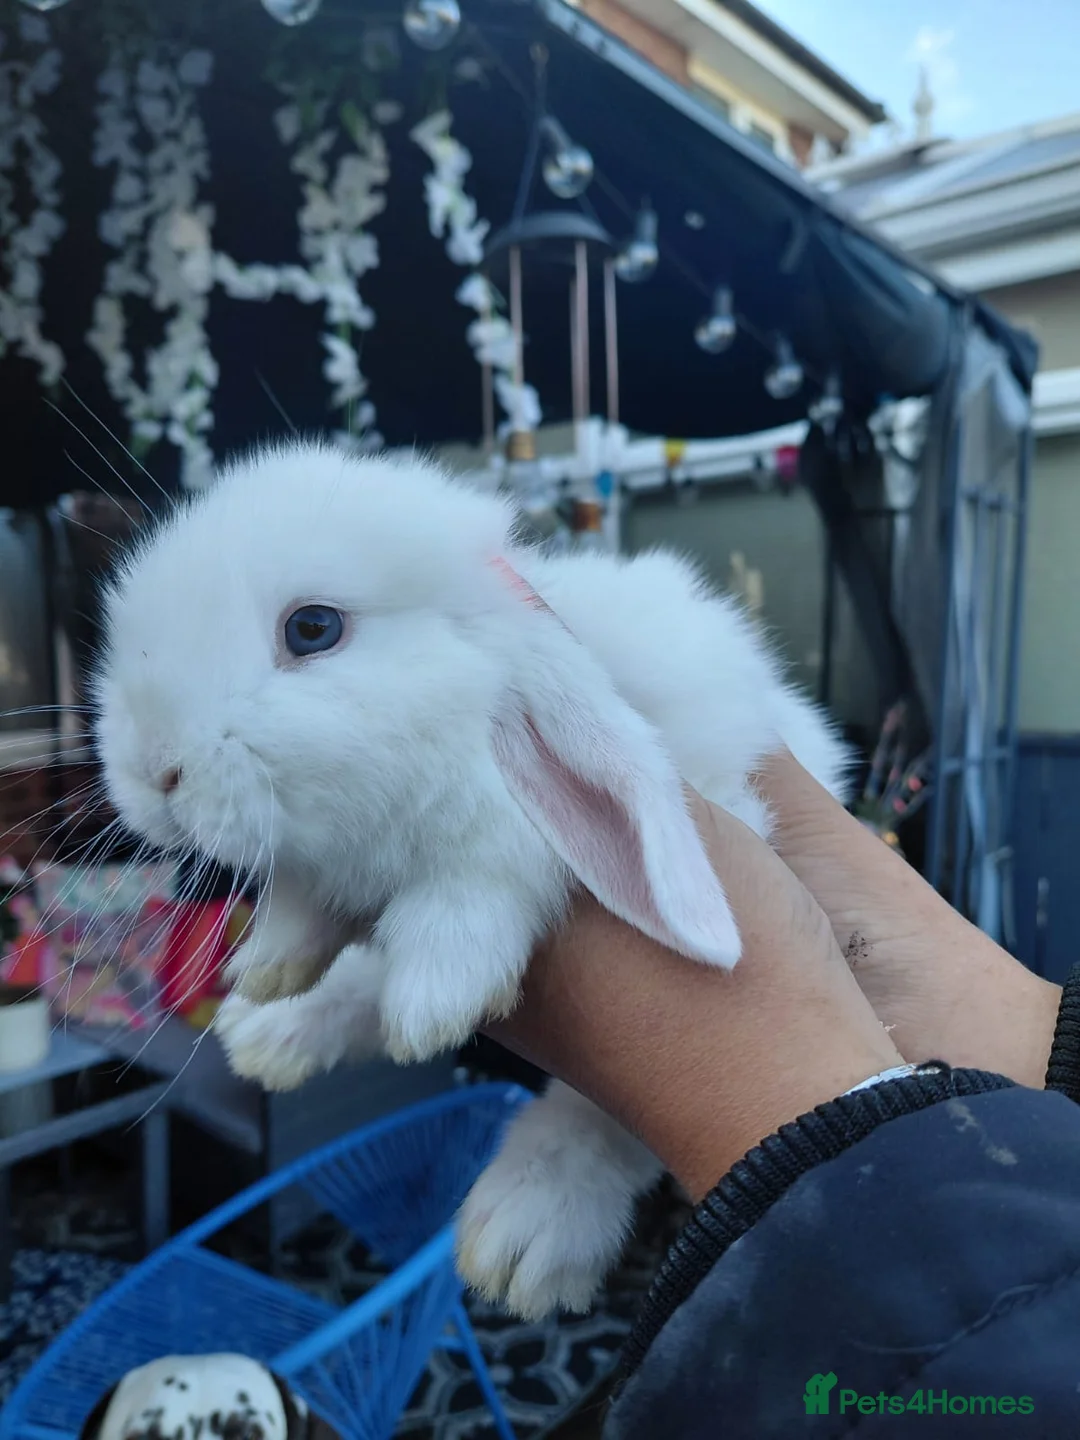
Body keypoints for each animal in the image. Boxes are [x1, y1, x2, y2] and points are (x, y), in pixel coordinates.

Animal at [94, 438, 851, 1321]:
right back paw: (274, 1034)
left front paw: (444, 994)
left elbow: (504, 894)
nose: (151, 771)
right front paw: (278, 975)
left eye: (313, 628)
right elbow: (327, 911)